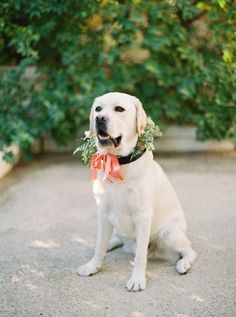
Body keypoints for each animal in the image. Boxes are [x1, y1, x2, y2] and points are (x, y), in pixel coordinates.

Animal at [78, 91, 196, 292]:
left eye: (119, 109)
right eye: (98, 109)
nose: (99, 118)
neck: (118, 161)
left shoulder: (142, 216)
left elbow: (141, 256)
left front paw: (137, 279)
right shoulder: (103, 213)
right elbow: (99, 245)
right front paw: (93, 265)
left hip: (170, 234)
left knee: (189, 250)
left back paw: (183, 264)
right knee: (115, 240)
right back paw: (111, 244)